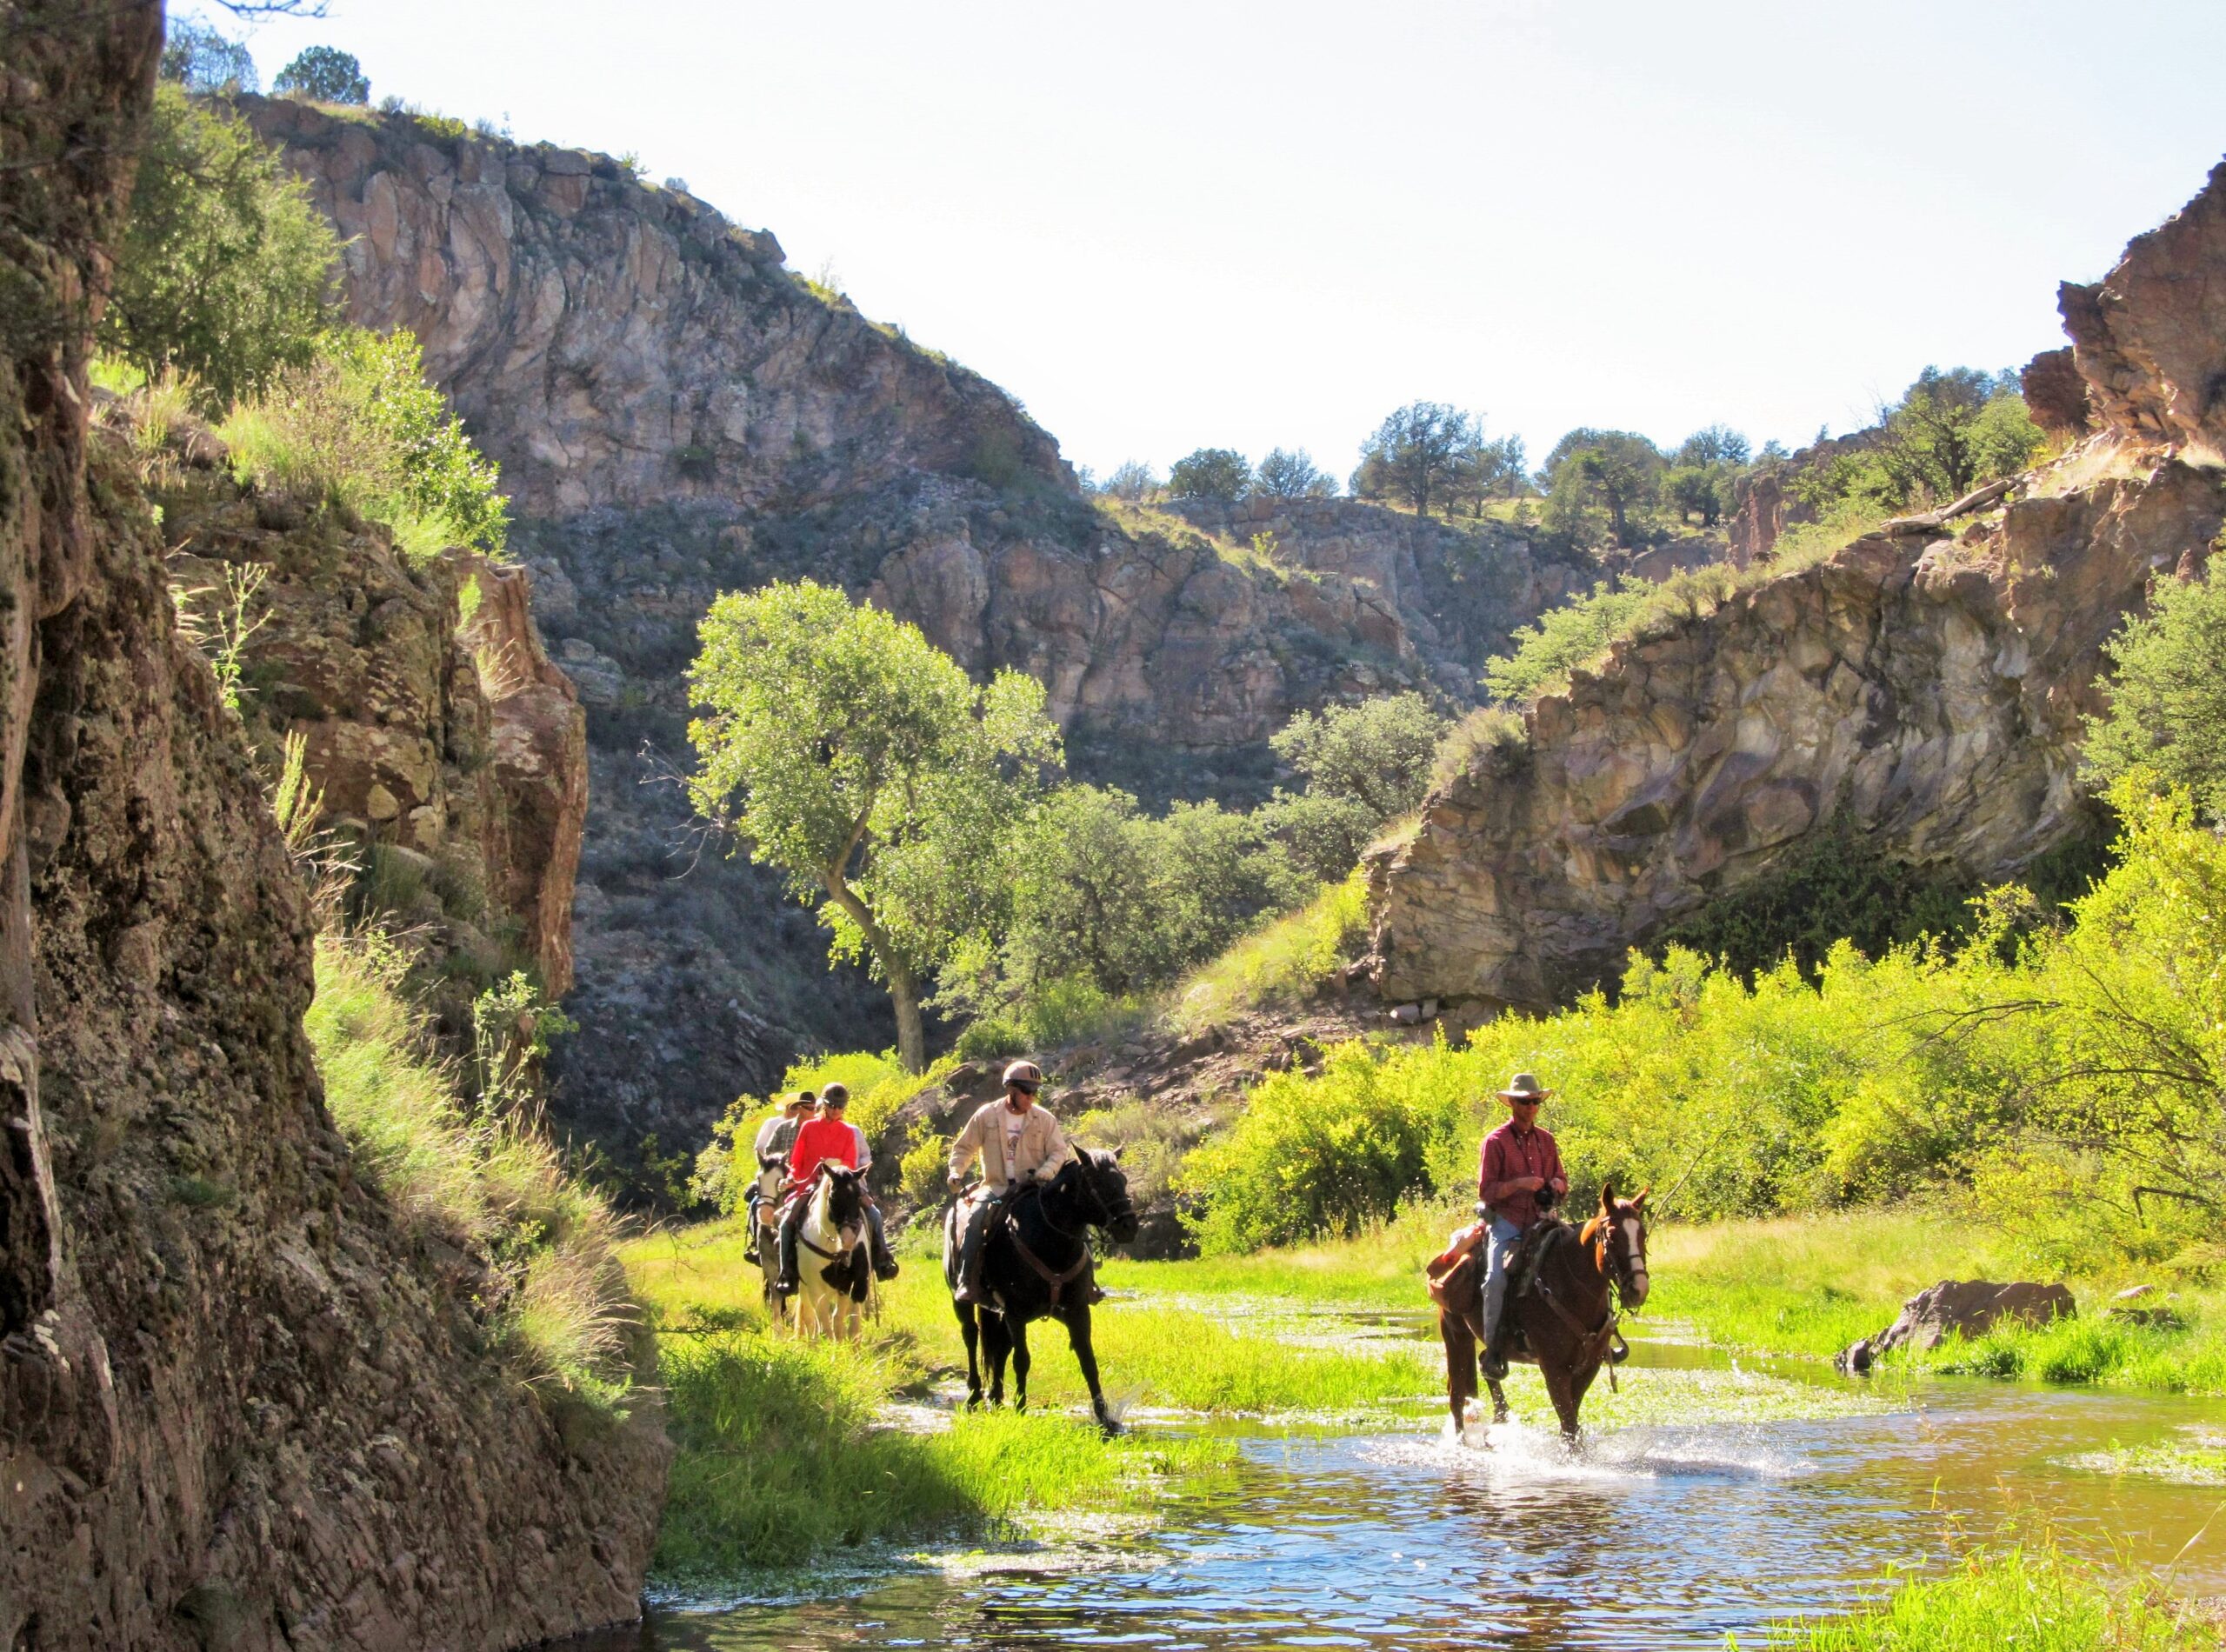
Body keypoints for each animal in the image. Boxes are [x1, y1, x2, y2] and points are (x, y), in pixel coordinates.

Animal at [796, 1166, 872, 1344]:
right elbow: (824, 1324)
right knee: (810, 1319)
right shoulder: (815, 1288)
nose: (849, 1239)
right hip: (804, 1288)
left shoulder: (848, 1284)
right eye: (832, 1197)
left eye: (858, 1196)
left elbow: (840, 1320)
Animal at [943, 1149, 1139, 1434]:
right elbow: (1022, 1359)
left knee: (1000, 1347)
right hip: (963, 1301)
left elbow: (1088, 1361)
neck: (1050, 1241)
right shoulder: (1016, 1313)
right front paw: (1021, 1409)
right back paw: (975, 1397)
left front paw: (1106, 1421)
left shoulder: (1077, 1311)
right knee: (971, 1336)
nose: (1129, 1227)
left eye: (1122, 1180)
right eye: (1095, 1183)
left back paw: (997, 1398)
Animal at [1433, 1184, 1647, 1442]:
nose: (1638, 1289)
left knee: (1485, 1367)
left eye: (1643, 1235)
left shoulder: (1589, 1366)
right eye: (1613, 1236)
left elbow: (1572, 1424)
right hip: (1456, 1334)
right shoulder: (1554, 1368)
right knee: (1456, 1395)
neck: (1568, 1281)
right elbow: (1569, 1424)